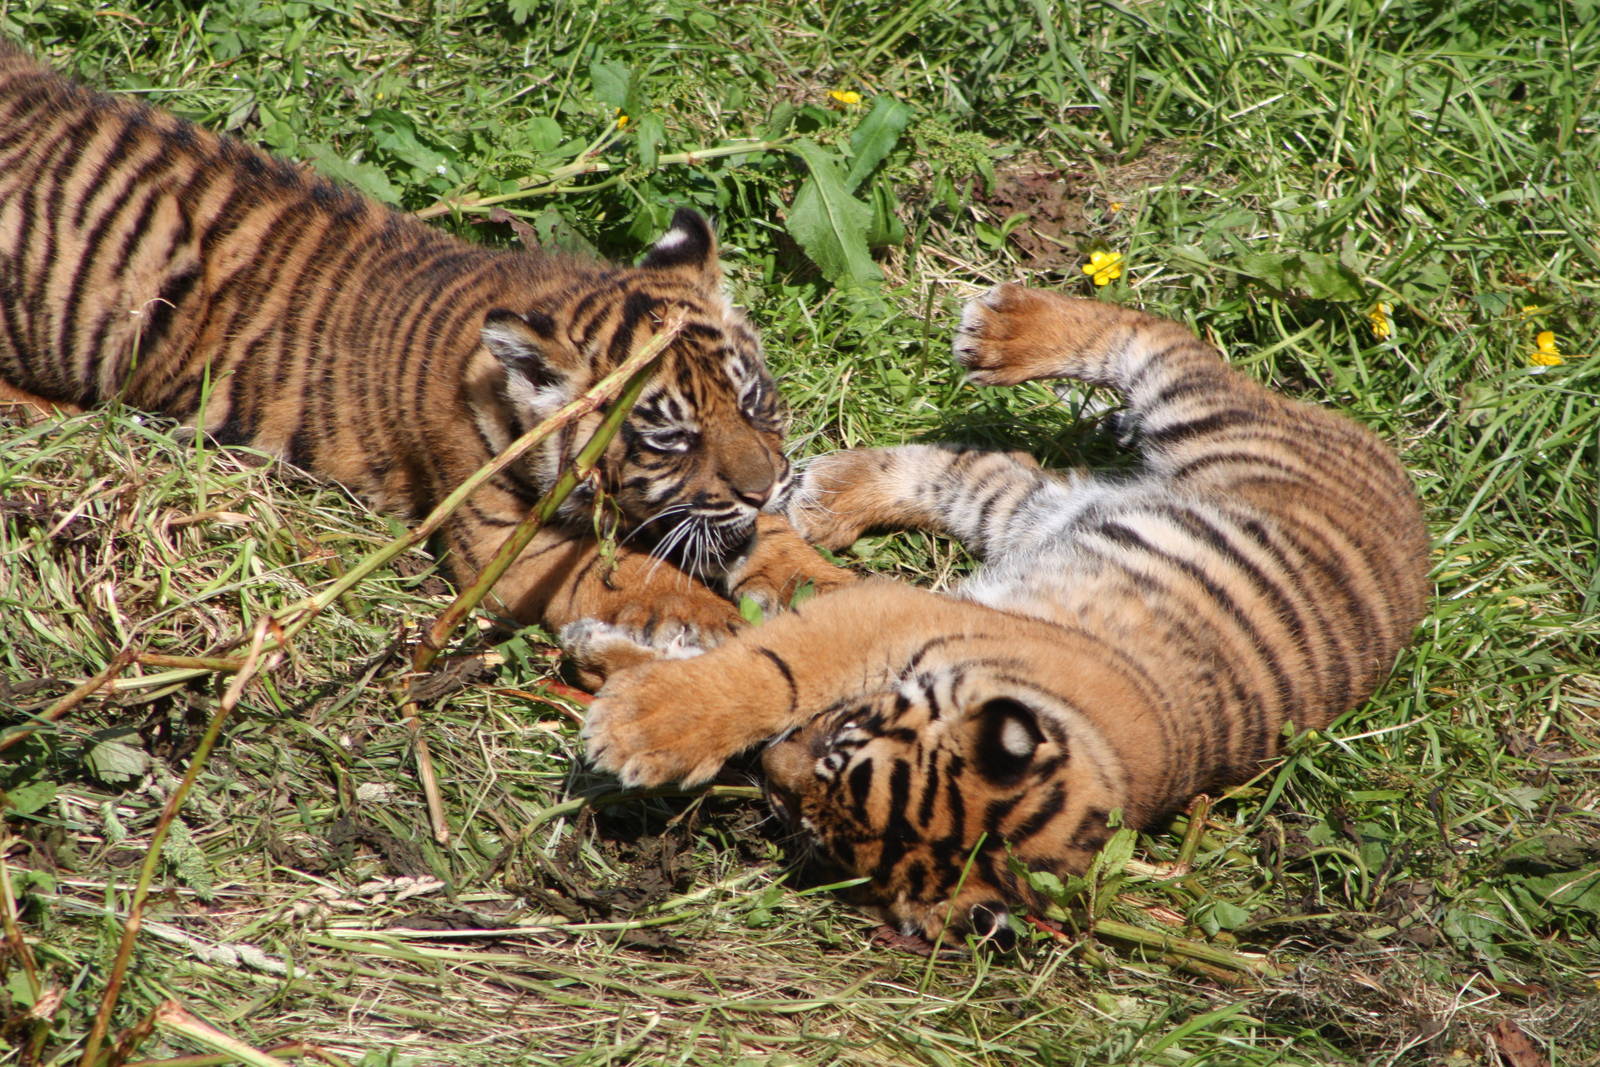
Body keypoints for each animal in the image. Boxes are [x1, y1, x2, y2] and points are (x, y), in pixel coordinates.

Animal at [0, 42, 846, 655]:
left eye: (753, 401)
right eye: (670, 437)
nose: (762, 487)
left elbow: (776, 543)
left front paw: (838, 593)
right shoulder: (514, 549)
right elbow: (644, 576)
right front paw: (723, 626)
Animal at [580, 282, 1430, 944]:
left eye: (817, 827)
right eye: (845, 740)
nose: (771, 773)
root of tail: (1410, 494)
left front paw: (610, 664)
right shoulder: (892, 613)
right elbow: (772, 669)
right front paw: (645, 722)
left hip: (1027, 513)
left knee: (980, 472)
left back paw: (816, 499)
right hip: (1200, 416)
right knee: (1160, 340)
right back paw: (997, 333)